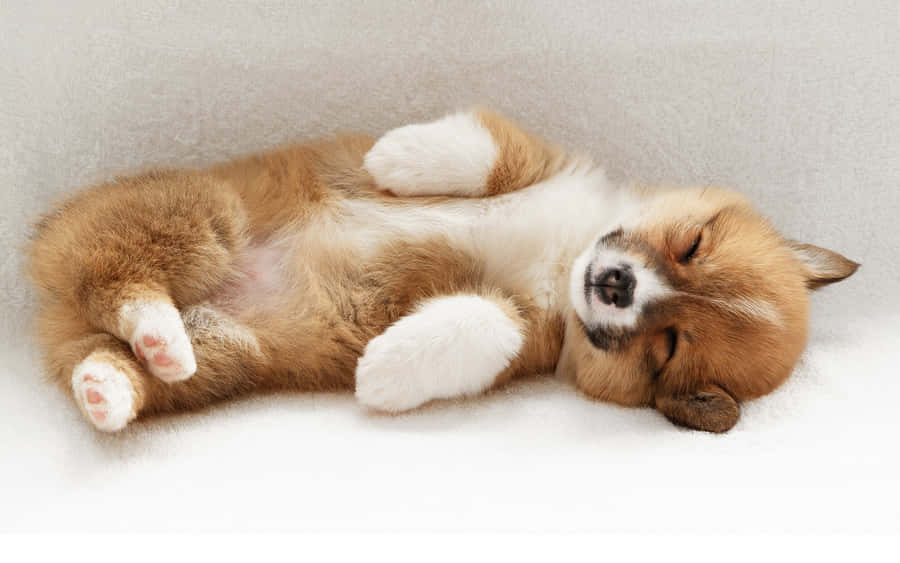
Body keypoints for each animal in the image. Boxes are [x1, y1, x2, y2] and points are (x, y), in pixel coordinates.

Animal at [27, 109, 858, 433]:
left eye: (669, 345)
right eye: (693, 241)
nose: (615, 284)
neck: (566, 256)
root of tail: (49, 310)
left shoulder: (521, 329)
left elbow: (477, 327)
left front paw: (384, 372)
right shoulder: (539, 157)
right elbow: (486, 148)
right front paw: (396, 156)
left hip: (224, 353)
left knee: (123, 343)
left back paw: (122, 376)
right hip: (204, 216)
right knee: (120, 272)